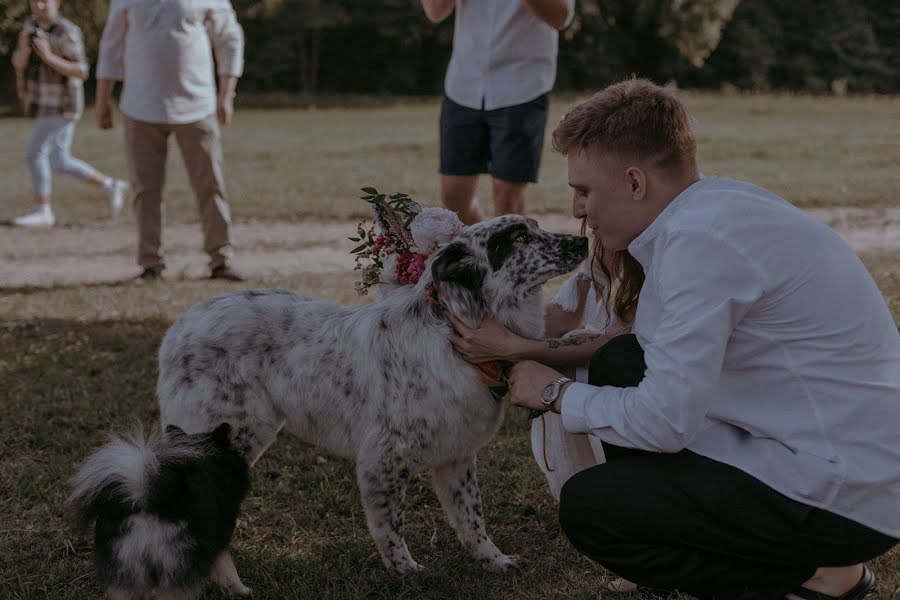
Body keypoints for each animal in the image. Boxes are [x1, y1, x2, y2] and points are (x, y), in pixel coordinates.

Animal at [68, 424, 251, 596]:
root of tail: (146, 507)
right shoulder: (220, 539)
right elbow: (229, 569)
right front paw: (243, 590)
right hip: (174, 568)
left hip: (125, 570)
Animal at [155, 216, 592, 576]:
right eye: (519, 237)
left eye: (535, 227)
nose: (583, 242)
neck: (450, 333)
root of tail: (179, 328)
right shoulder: (384, 457)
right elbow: (390, 522)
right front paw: (403, 570)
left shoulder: (456, 456)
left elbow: (472, 518)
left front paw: (493, 560)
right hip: (229, 433)